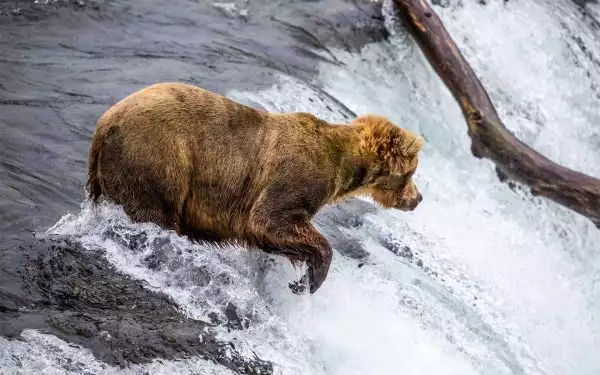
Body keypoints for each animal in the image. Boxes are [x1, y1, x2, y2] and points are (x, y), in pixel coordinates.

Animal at [88, 82, 426, 294]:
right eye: (411, 172)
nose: (418, 198)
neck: (343, 166)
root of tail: (104, 123)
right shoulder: (297, 176)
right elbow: (270, 220)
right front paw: (309, 280)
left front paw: (299, 273)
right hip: (159, 157)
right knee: (155, 213)